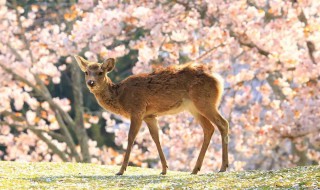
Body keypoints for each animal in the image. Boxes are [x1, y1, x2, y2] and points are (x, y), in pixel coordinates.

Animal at [74, 55, 229, 176]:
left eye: (101, 72)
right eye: (86, 72)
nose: (91, 82)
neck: (121, 98)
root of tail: (218, 79)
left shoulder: (137, 110)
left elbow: (131, 138)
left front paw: (121, 170)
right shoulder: (149, 116)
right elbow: (156, 138)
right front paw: (164, 169)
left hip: (205, 101)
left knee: (223, 123)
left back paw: (223, 167)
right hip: (193, 107)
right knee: (209, 128)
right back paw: (196, 169)